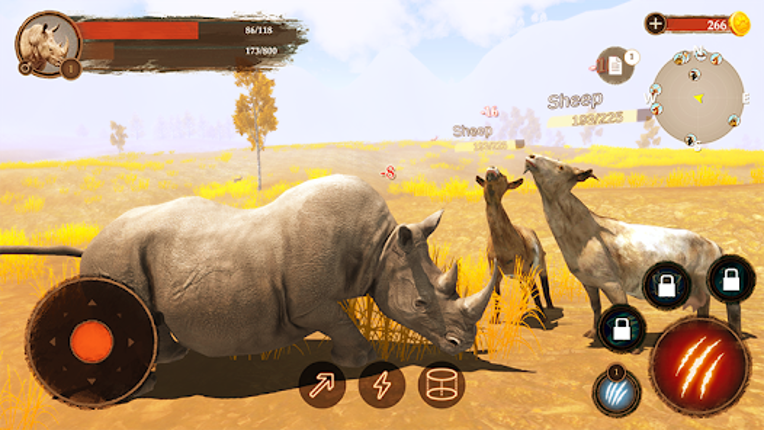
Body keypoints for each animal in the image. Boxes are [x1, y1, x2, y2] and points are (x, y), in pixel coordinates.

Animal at [1, 175, 498, 398]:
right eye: (420, 302)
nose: (462, 344)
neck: (380, 247)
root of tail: (92, 242)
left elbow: (339, 318)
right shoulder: (308, 302)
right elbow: (338, 320)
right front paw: (360, 363)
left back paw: (173, 357)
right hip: (117, 257)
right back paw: (143, 386)